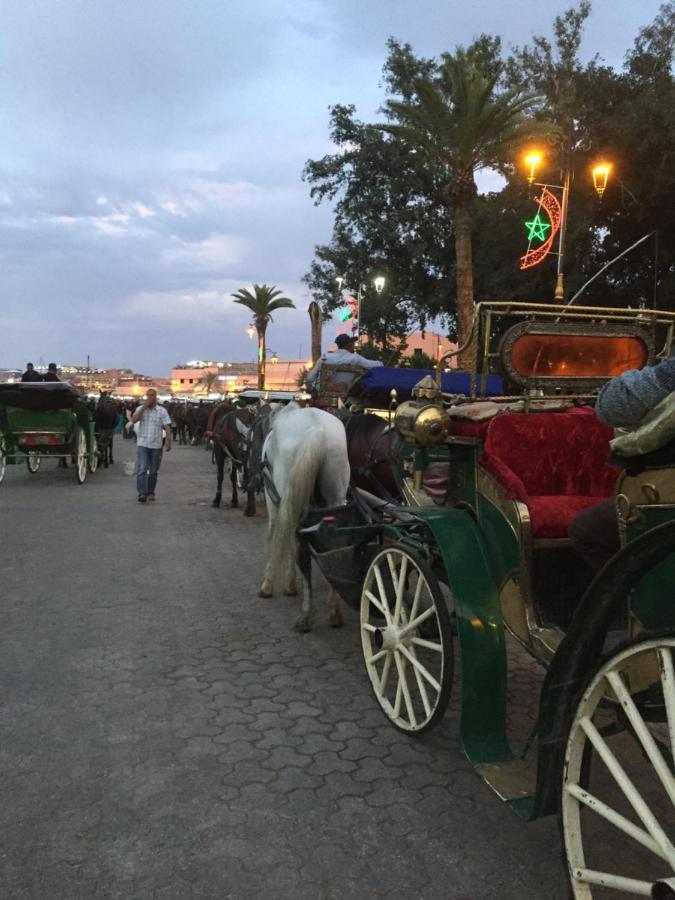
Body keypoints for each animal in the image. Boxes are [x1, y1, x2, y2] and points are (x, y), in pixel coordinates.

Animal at [258, 402, 352, 632]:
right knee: (335, 546)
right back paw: (334, 612)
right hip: (336, 498)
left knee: (302, 551)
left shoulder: (275, 500)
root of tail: (318, 430)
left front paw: (272, 584)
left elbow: (276, 536)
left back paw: (306, 615)